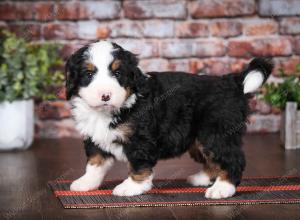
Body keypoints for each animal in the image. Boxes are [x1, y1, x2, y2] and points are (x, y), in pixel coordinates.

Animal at [65, 40, 274, 199]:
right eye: (89, 74)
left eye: (117, 73)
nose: (105, 95)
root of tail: (232, 82)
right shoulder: (94, 137)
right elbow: (95, 163)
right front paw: (86, 183)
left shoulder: (140, 139)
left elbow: (138, 164)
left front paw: (131, 187)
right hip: (199, 139)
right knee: (212, 160)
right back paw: (201, 178)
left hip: (216, 133)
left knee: (232, 159)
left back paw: (222, 189)